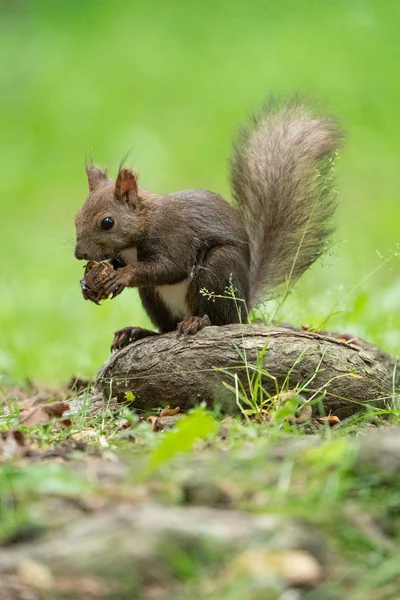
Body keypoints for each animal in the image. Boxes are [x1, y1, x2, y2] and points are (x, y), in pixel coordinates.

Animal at [74, 96, 340, 352]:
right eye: (76, 218)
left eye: (107, 222)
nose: (79, 254)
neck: (145, 223)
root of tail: (244, 307)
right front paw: (87, 283)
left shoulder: (175, 235)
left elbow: (171, 267)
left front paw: (122, 276)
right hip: (152, 295)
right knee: (166, 328)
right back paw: (137, 332)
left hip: (219, 270)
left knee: (219, 319)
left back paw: (198, 321)